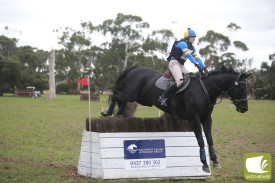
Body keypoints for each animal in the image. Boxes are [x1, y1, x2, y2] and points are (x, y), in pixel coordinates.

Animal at [102, 65, 251, 172]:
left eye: (246, 89)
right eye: (240, 88)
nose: (244, 109)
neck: (205, 90)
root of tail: (136, 68)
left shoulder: (207, 119)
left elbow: (210, 139)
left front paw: (215, 161)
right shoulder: (195, 119)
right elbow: (201, 141)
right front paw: (204, 163)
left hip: (140, 98)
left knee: (122, 99)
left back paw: (119, 112)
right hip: (132, 93)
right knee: (116, 94)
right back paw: (107, 112)